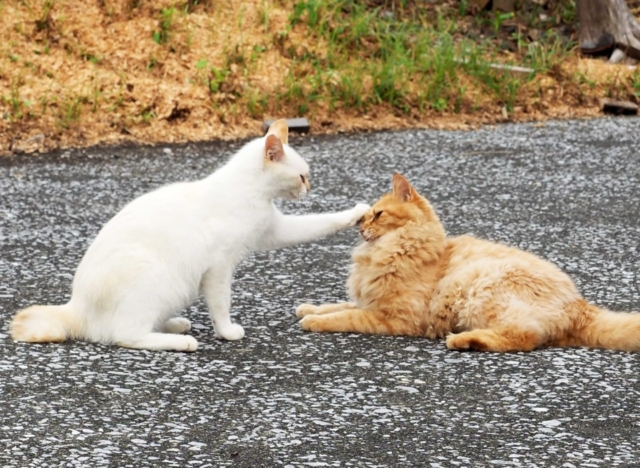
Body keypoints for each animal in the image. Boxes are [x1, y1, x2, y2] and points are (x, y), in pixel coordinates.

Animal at [10, 120, 370, 352]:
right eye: (302, 176)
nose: (310, 188)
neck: (250, 192)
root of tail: (76, 306)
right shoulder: (219, 269)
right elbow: (221, 304)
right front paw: (227, 332)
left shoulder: (272, 231)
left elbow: (319, 222)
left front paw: (355, 212)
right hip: (151, 276)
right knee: (125, 335)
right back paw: (181, 341)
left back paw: (175, 324)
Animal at [298, 174, 640, 352]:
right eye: (364, 217)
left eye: (378, 215)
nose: (359, 229)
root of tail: (579, 304)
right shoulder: (368, 301)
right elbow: (336, 305)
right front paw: (308, 308)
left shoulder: (393, 317)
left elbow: (344, 316)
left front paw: (313, 321)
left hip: (482, 288)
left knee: (523, 337)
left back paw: (462, 340)